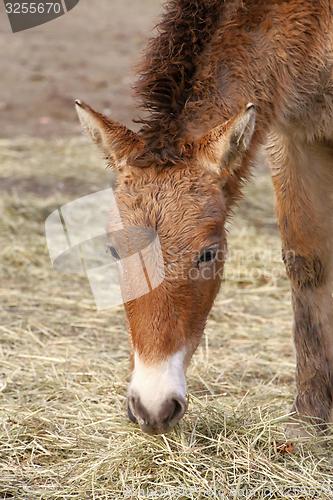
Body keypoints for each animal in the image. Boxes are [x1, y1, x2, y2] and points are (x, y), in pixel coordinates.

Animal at [74, 0, 332, 436]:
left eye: (208, 254)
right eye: (113, 251)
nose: (153, 407)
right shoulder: (295, 136)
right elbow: (307, 262)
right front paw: (311, 418)